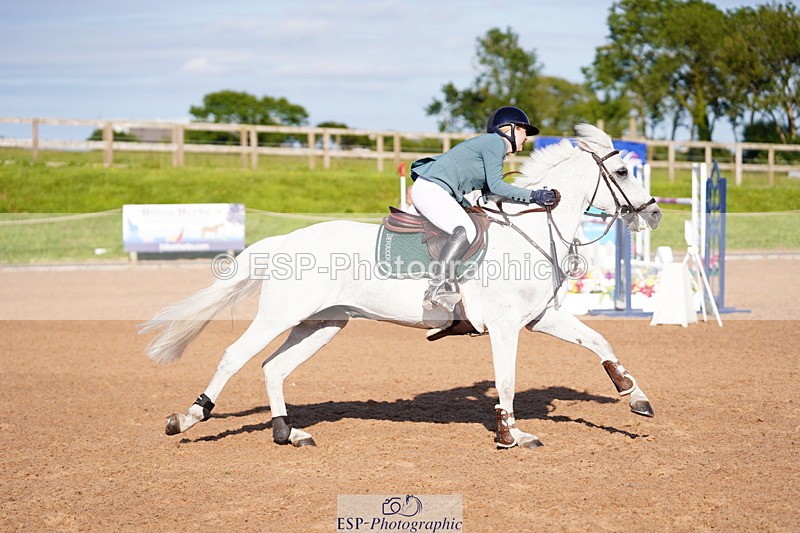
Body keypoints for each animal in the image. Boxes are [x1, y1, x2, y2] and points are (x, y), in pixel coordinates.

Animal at [140, 124, 663, 449]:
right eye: (621, 172)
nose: (654, 213)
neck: (534, 230)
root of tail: (286, 239)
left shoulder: (540, 318)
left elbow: (600, 340)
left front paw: (634, 397)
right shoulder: (505, 327)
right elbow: (507, 381)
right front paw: (512, 436)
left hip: (323, 324)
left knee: (273, 367)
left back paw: (289, 432)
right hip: (280, 315)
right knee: (234, 356)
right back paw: (187, 418)